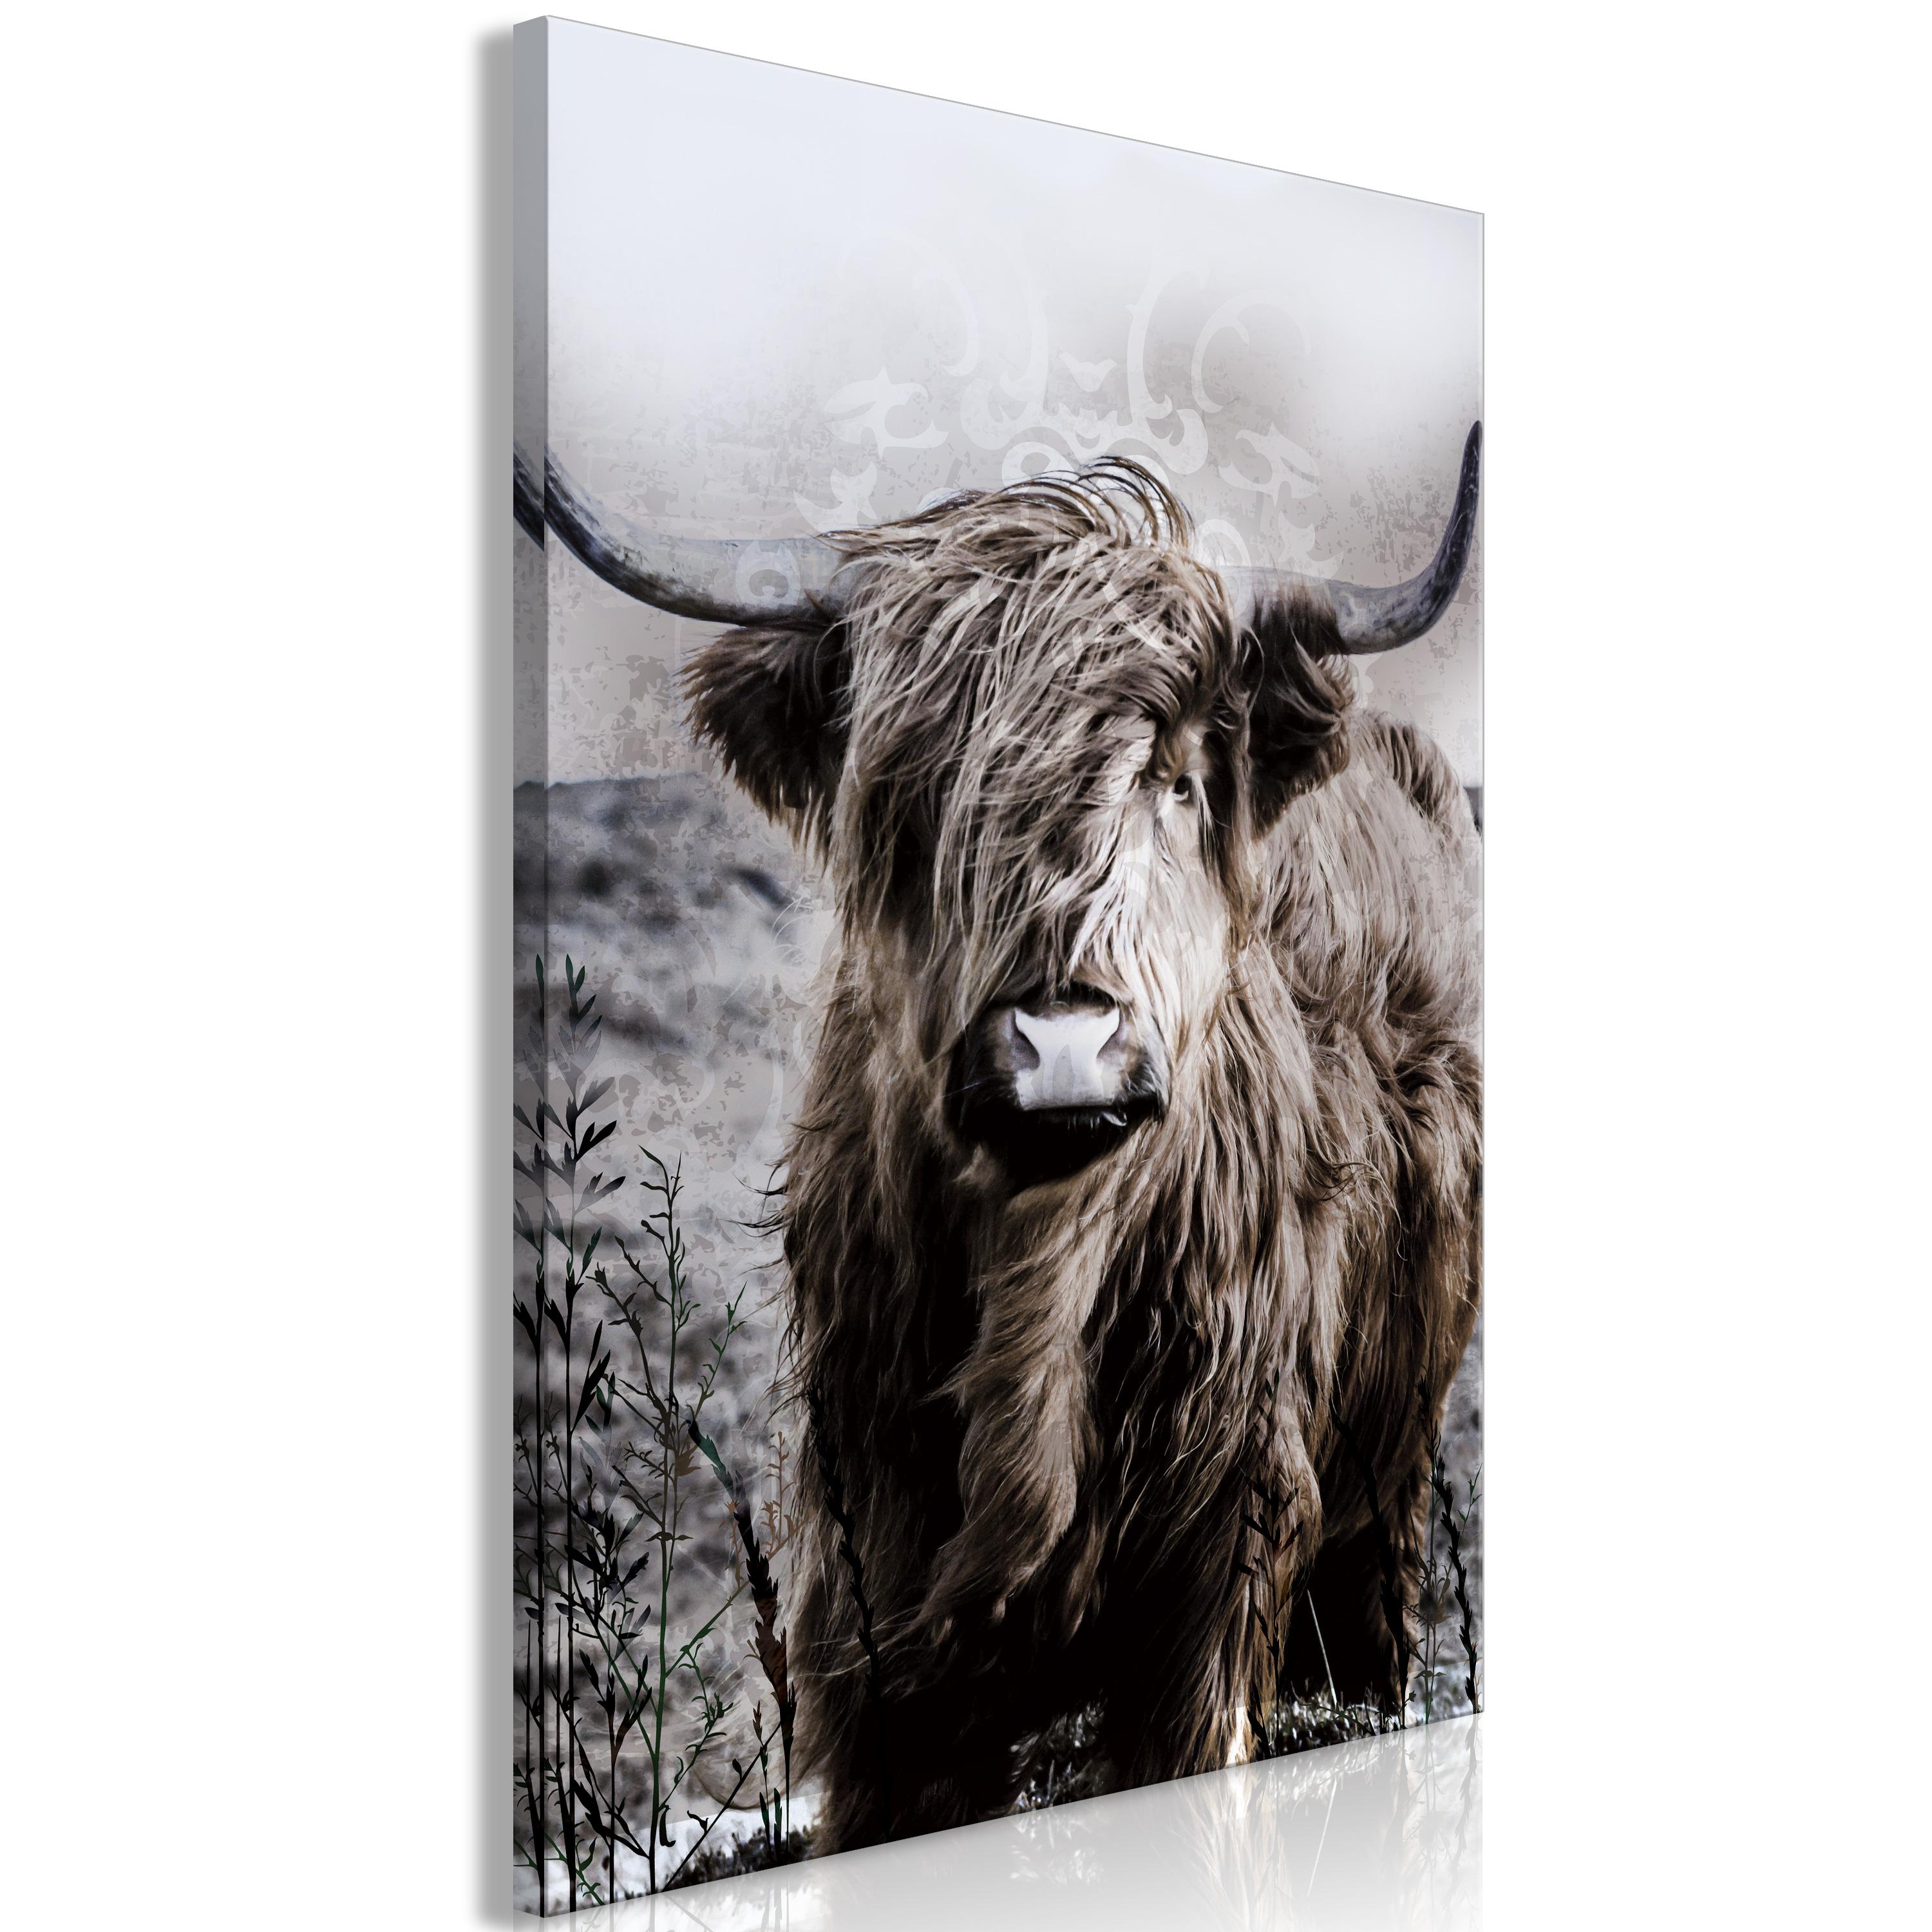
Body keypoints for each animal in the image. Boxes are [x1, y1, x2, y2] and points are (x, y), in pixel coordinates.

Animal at [515, 423, 1483, 1851]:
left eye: (1177, 780)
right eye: (915, 800)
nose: (1062, 1047)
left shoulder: (1220, 1567)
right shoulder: (869, 1602)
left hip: (1391, 1482)